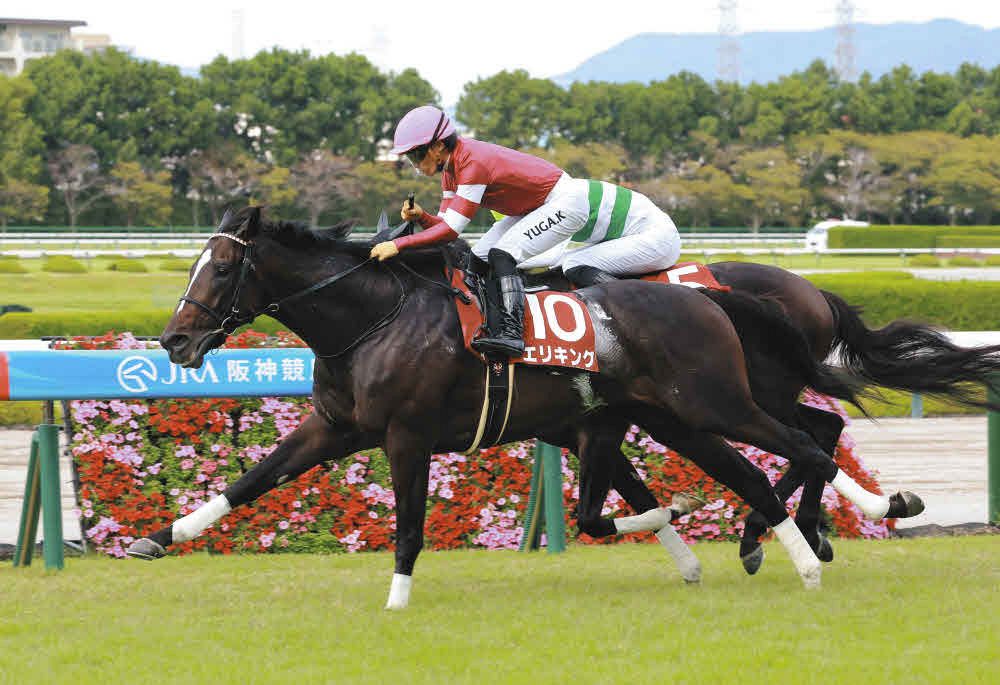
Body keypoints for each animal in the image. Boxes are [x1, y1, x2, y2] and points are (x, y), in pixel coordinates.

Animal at [126, 206, 914, 606]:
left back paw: (852, 523)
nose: (175, 339)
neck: (374, 319)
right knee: (766, 464)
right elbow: (252, 480)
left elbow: (409, 524)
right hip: (681, 415)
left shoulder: (408, 435)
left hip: (717, 401)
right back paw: (788, 543)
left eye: (221, 268)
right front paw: (160, 536)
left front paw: (397, 599)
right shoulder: (334, 426)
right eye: (194, 264)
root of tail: (708, 299)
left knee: (805, 442)